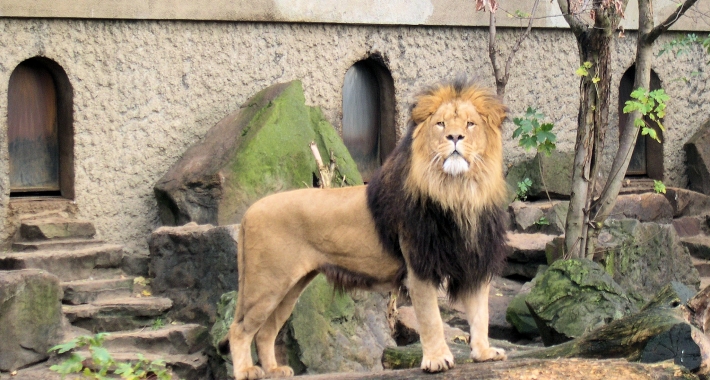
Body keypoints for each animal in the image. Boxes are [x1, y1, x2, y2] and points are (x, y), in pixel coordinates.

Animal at [220, 78, 508, 378]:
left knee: (265, 331)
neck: (458, 191)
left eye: (470, 124)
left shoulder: (476, 260)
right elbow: (431, 318)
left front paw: (484, 353)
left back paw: (275, 370)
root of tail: (249, 212)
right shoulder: (419, 264)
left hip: (290, 287)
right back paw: (246, 371)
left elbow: (480, 313)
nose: (454, 137)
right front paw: (437, 359)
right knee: (239, 330)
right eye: (440, 124)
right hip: (266, 284)